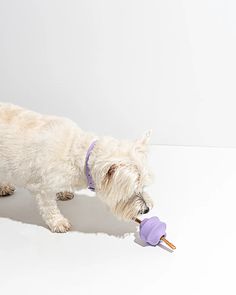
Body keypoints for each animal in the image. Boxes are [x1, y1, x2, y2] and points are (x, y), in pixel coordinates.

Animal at [0, 104, 153, 234]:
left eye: (143, 186)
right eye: (130, 191)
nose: (146, 209)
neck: (78, 152)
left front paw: (63, 192)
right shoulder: (44, 187)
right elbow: (49, 207)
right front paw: (58, 222)